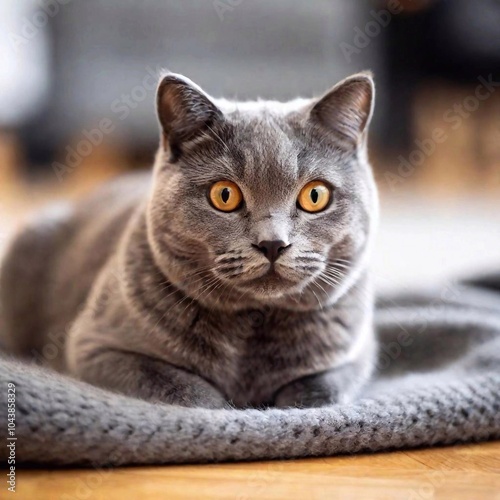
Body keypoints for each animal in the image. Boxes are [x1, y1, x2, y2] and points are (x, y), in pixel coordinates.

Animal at [0, 72, 378, 408]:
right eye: (224, 195)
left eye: (315, 196)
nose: (272, 243)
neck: (250, 330)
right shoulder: (93, 347)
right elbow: (185, 389)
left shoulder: (357, 354)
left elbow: (319, 392)